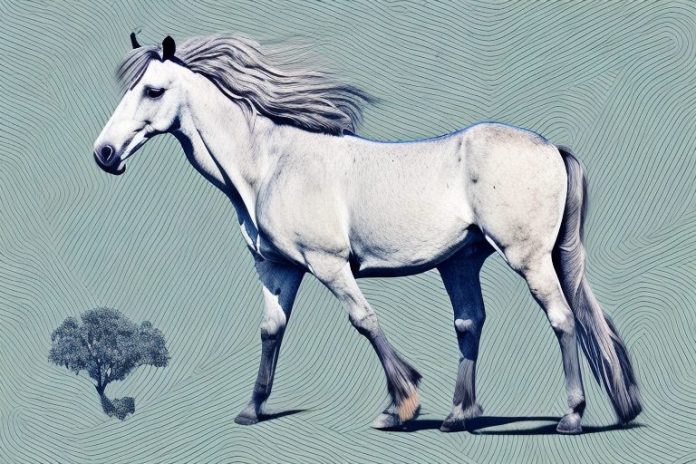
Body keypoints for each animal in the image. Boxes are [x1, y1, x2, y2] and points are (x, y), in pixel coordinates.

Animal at [93, 33, 642, 434]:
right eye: (130, 88)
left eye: (153, 90)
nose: (104, 153)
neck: (271, 164)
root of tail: (551, 147)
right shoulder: (278, 268)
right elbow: (271, 330)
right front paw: (252, 409)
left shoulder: (328, 264)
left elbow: (364, 321)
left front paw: (400, 405)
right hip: (461, 262)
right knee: (471, 322)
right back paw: (458, 416)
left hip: (527, 257)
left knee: (562, 318)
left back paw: (571, 416)